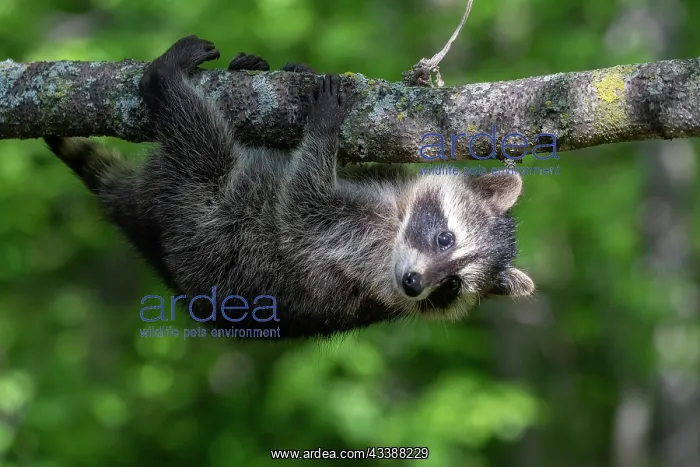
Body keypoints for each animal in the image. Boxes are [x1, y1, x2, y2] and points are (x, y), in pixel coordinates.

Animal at [43, 35, 534, 339]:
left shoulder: (353, 251)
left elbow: (302, 205)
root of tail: (139, 215)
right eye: (445, 238)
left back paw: (163, 81)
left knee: (202, 144)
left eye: (451, 287)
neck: (395, 225)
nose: (414, 284)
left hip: (196, 210)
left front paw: (324, 130)